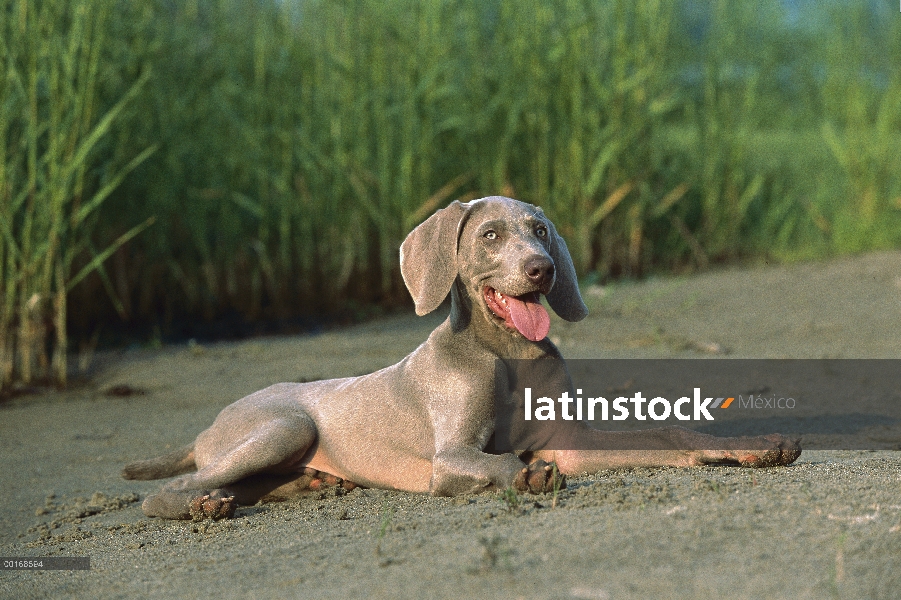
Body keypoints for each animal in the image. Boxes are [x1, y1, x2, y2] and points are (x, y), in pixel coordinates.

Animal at [121, 197, 800, 520]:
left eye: (541, 230)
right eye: (491, 236)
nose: (542, 268)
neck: (509, 354)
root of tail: (206, 428)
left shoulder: (570, 442)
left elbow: (668, 435)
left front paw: (754, 445)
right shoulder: (449, 459)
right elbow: (492, 462)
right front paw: (525, 476)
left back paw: (307, 487)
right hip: (284, 424)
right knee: (177, 487)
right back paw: (202, 506)